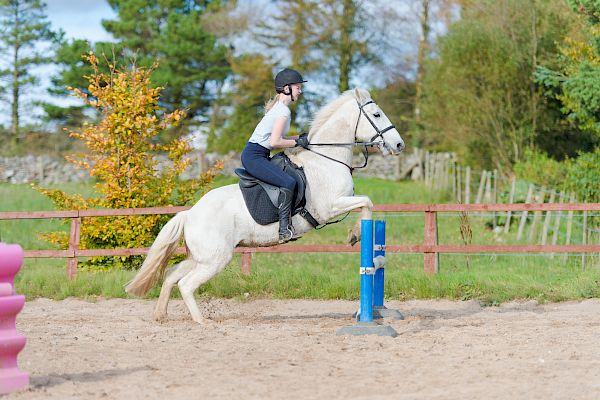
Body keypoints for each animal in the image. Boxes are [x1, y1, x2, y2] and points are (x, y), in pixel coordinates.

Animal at [127, 87, 408, 322]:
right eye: (377, 114)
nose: (399, 144)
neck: (327, 158)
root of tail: (189, 214)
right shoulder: (331, 206)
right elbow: (367, 203)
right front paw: (355, 234)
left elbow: (367, 206)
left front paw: (354, 234)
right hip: (215, 259)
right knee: (186, 284)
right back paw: (202, 322)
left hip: (201, 257)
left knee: (171, 276)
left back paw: (160, 316)